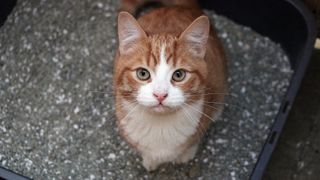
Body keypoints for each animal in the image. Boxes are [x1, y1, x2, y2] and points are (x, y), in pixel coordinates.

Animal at [112, 0, 228, 172]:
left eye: (179, 75)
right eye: (142, 73)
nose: (160, 95)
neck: (160, 126)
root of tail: (181, 7)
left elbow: (194, 139)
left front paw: (186, 153)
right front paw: (150, 158)